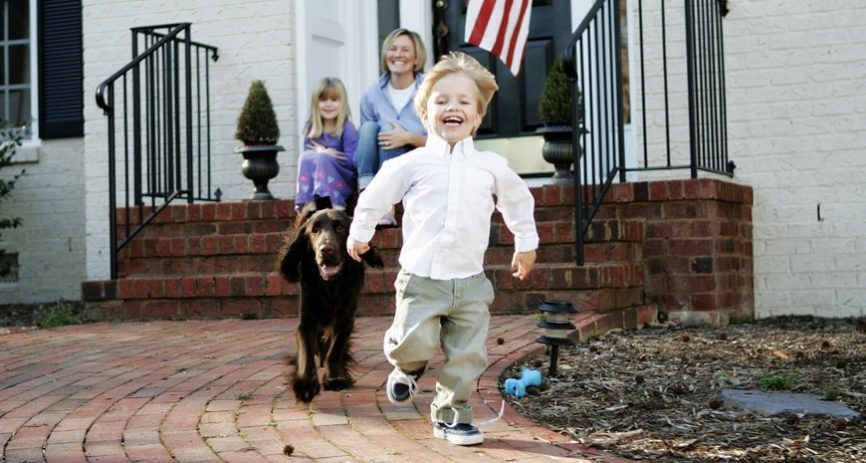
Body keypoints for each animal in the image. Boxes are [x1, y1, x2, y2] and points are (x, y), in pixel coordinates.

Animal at [278, 205, 384, 404]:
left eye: (341, 228)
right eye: (314, 230)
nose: (325, 249)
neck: (330, 285)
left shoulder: (346, 318)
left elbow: (335, 349)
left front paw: (336, 377)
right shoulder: (307, 321)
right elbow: (306, 351)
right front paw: (305, 385)